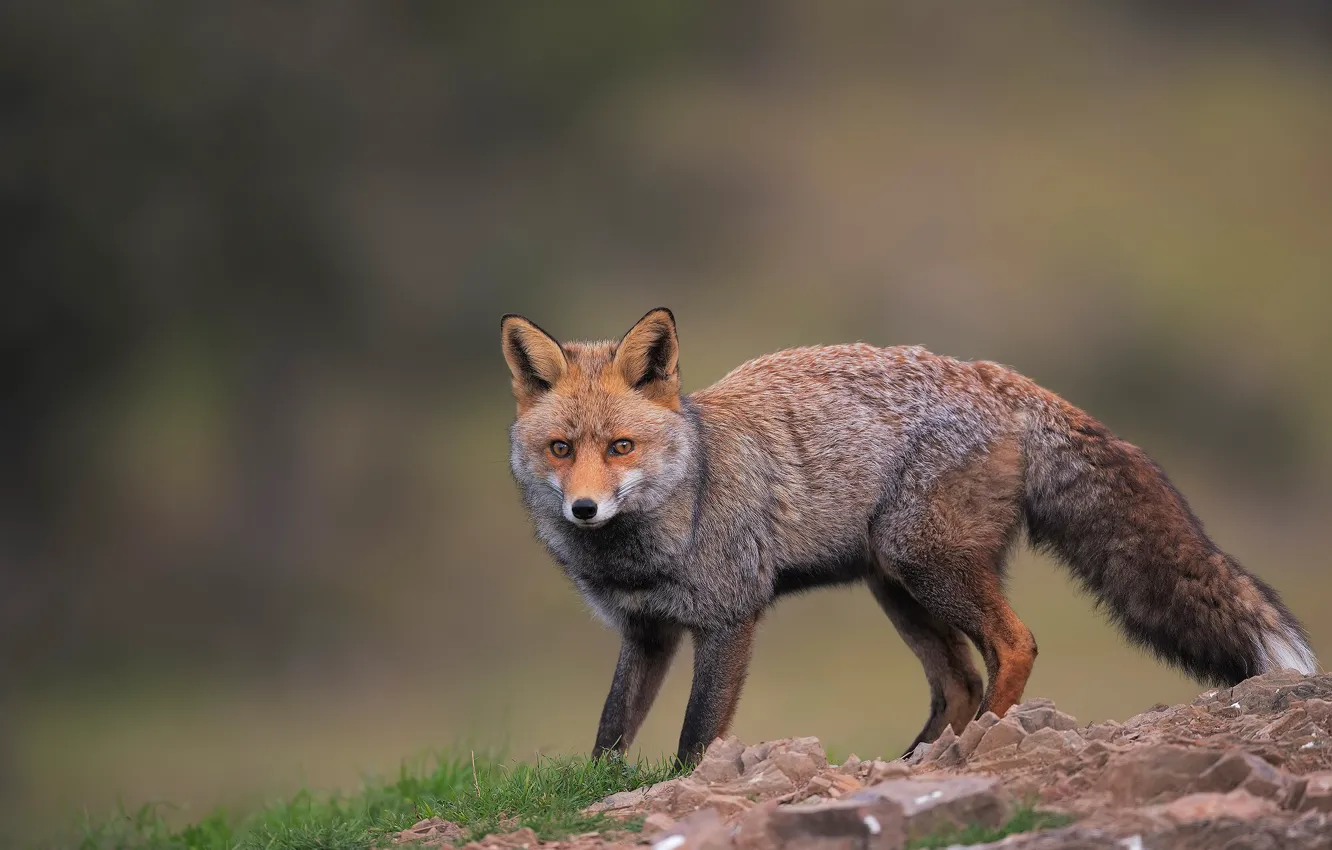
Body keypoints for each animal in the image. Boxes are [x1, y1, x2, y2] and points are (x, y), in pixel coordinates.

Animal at [501, 307, 1317, 765]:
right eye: (561, 450)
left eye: (621, 448)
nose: (583, 511)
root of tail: (995, 375)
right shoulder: (646, 634)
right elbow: (611, 730)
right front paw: (596, 792)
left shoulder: (731, 618)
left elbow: (695, 737)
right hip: (896, 587)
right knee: (959, 681)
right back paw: (919, 758)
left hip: (928, 567)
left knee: (1014, 646)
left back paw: (977, 743)